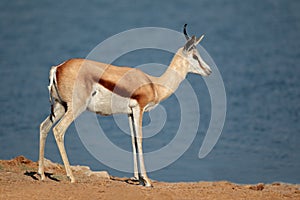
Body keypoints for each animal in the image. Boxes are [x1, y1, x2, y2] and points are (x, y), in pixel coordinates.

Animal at [38, 24, 211, 187]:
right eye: (195, 56)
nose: (209, 71)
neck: (155, 84)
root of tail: (58, 68)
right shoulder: (139, 109)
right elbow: (140, 140)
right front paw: (147, 181)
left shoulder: (130, 113)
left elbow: (133, 141)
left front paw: (138, 178)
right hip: (75, 107)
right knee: (58, 131)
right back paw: (71, 177)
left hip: (60, 107)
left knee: (44, 127)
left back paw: (41, 174)